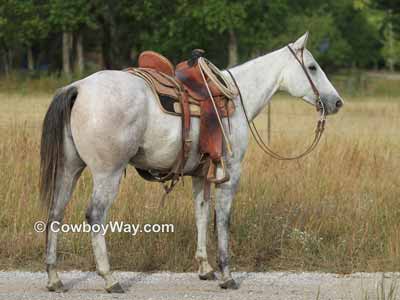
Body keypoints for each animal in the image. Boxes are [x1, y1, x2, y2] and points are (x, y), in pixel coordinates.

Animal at [39, 32, 342, 292]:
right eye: (313, 67)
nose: (337, 102)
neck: (237, 97)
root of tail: (78, 87)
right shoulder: (231, 174)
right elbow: (223, 220)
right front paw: (227, 274)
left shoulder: (201, 175)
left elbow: (201, 214)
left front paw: (205, 268)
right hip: (107, 173)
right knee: (95, 215)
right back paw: (110, 279)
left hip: (69, 169)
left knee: (56, 212)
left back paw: (54, 278)